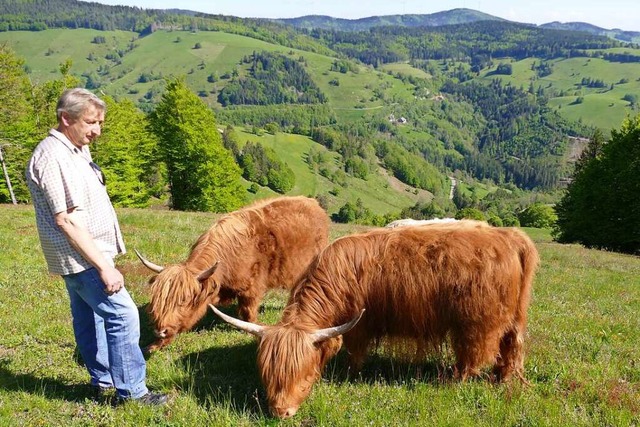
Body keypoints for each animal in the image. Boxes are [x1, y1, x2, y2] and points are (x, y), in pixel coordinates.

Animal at [139, 196, 330, 352]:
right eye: (157, 300)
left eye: (183, 300)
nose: (160, 330)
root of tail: (313, 203)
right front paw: (153, 346)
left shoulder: (252, 287)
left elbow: (248, 313)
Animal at [211, 222, 540, 420]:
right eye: (267, 374)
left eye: (304, 376)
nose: (281, 412)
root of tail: (512, 236)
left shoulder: (359, 325)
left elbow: (355, 351)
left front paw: (347, 373)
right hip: (513, 319)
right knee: (511, 348)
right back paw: (500, 379)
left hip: (476, 323)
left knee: (473, 355)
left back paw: (451, 381)